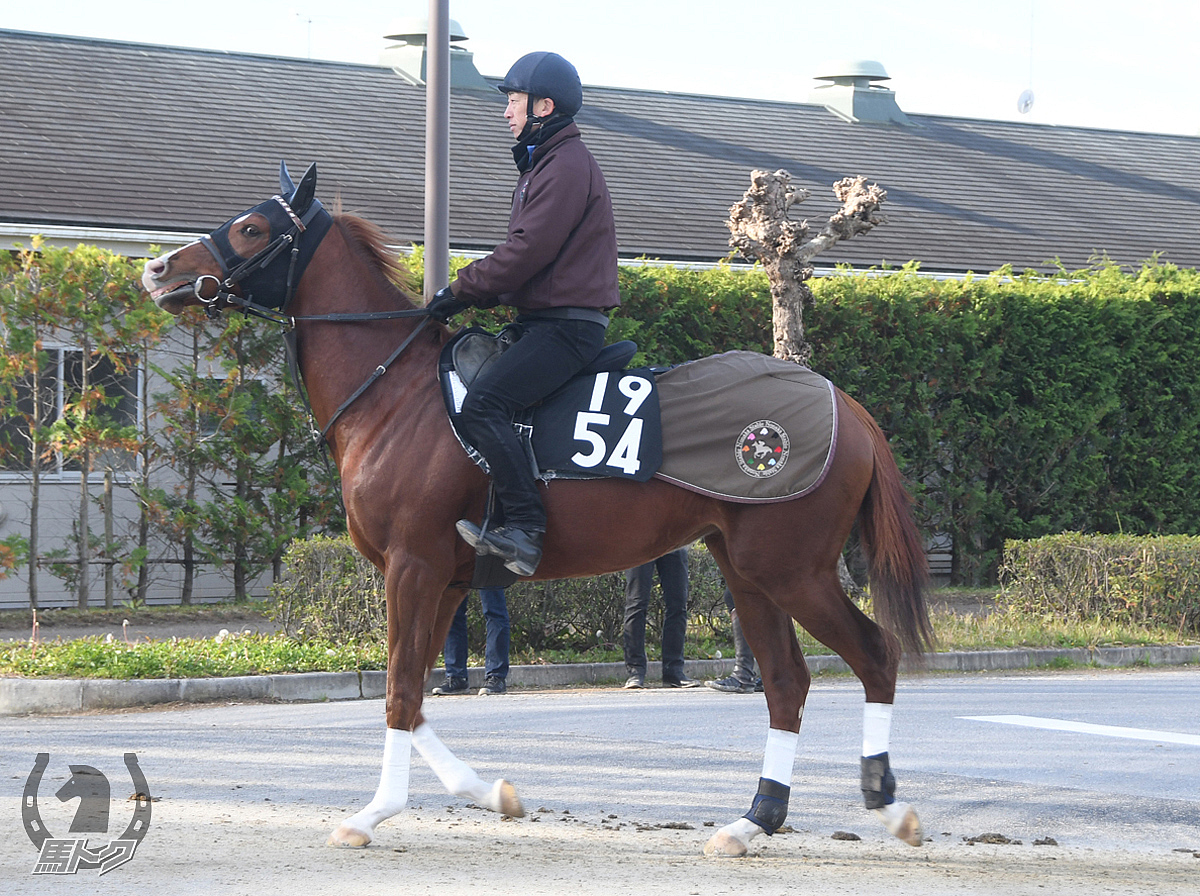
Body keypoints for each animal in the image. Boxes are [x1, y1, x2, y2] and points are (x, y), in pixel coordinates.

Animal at [138, 164, 926, 858]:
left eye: (250, 227)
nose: (157, 270)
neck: (397, 394)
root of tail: (847, 408)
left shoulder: (411, 568)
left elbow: (398, 691)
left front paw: (372, 814)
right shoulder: (446, 581)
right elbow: (416, 697)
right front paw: (489, 793)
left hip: (791, 571)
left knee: (875, 654)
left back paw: (887, 803)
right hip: (748, 573)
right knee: (788, 683)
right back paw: (752, 821)